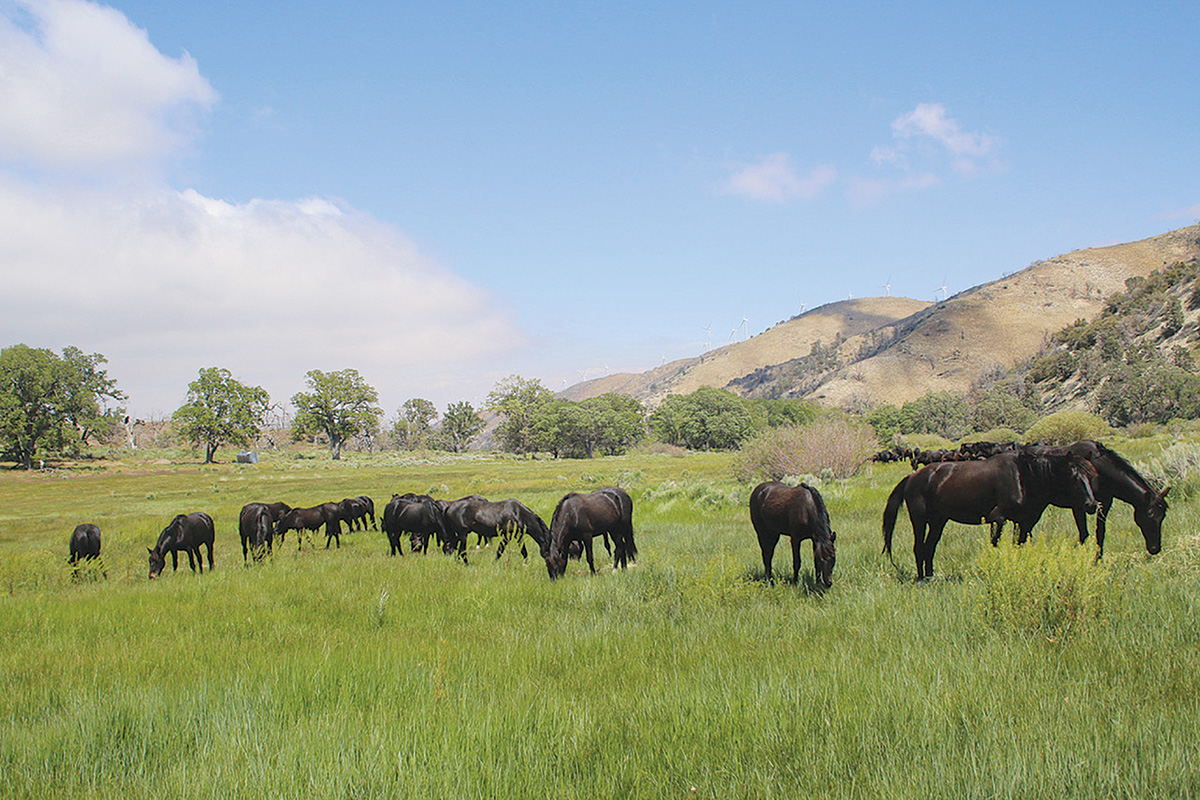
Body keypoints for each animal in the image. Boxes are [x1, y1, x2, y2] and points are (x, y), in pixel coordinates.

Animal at [883, 450, 1099, 582]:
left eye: (1091, 477)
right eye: (1074, 477)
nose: (1091, 505)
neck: (1023, 477)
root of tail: (913, 477)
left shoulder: (1023, 523)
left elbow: (1018, 546)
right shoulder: (998, 519)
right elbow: (995, 546)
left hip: (938, 522)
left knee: (929, 548)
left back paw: (930, 577)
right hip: (919, 520)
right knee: (919, 548)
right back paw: (921, 580)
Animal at [1017, 441, 1166, 561]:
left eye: (1162, 517)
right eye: (1149, 516)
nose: (1155, 549)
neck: (1099, 470)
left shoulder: (1104, 504)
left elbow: (1100, 533)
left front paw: (1098, 561)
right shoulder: (1078, 506)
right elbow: (1084, 534)